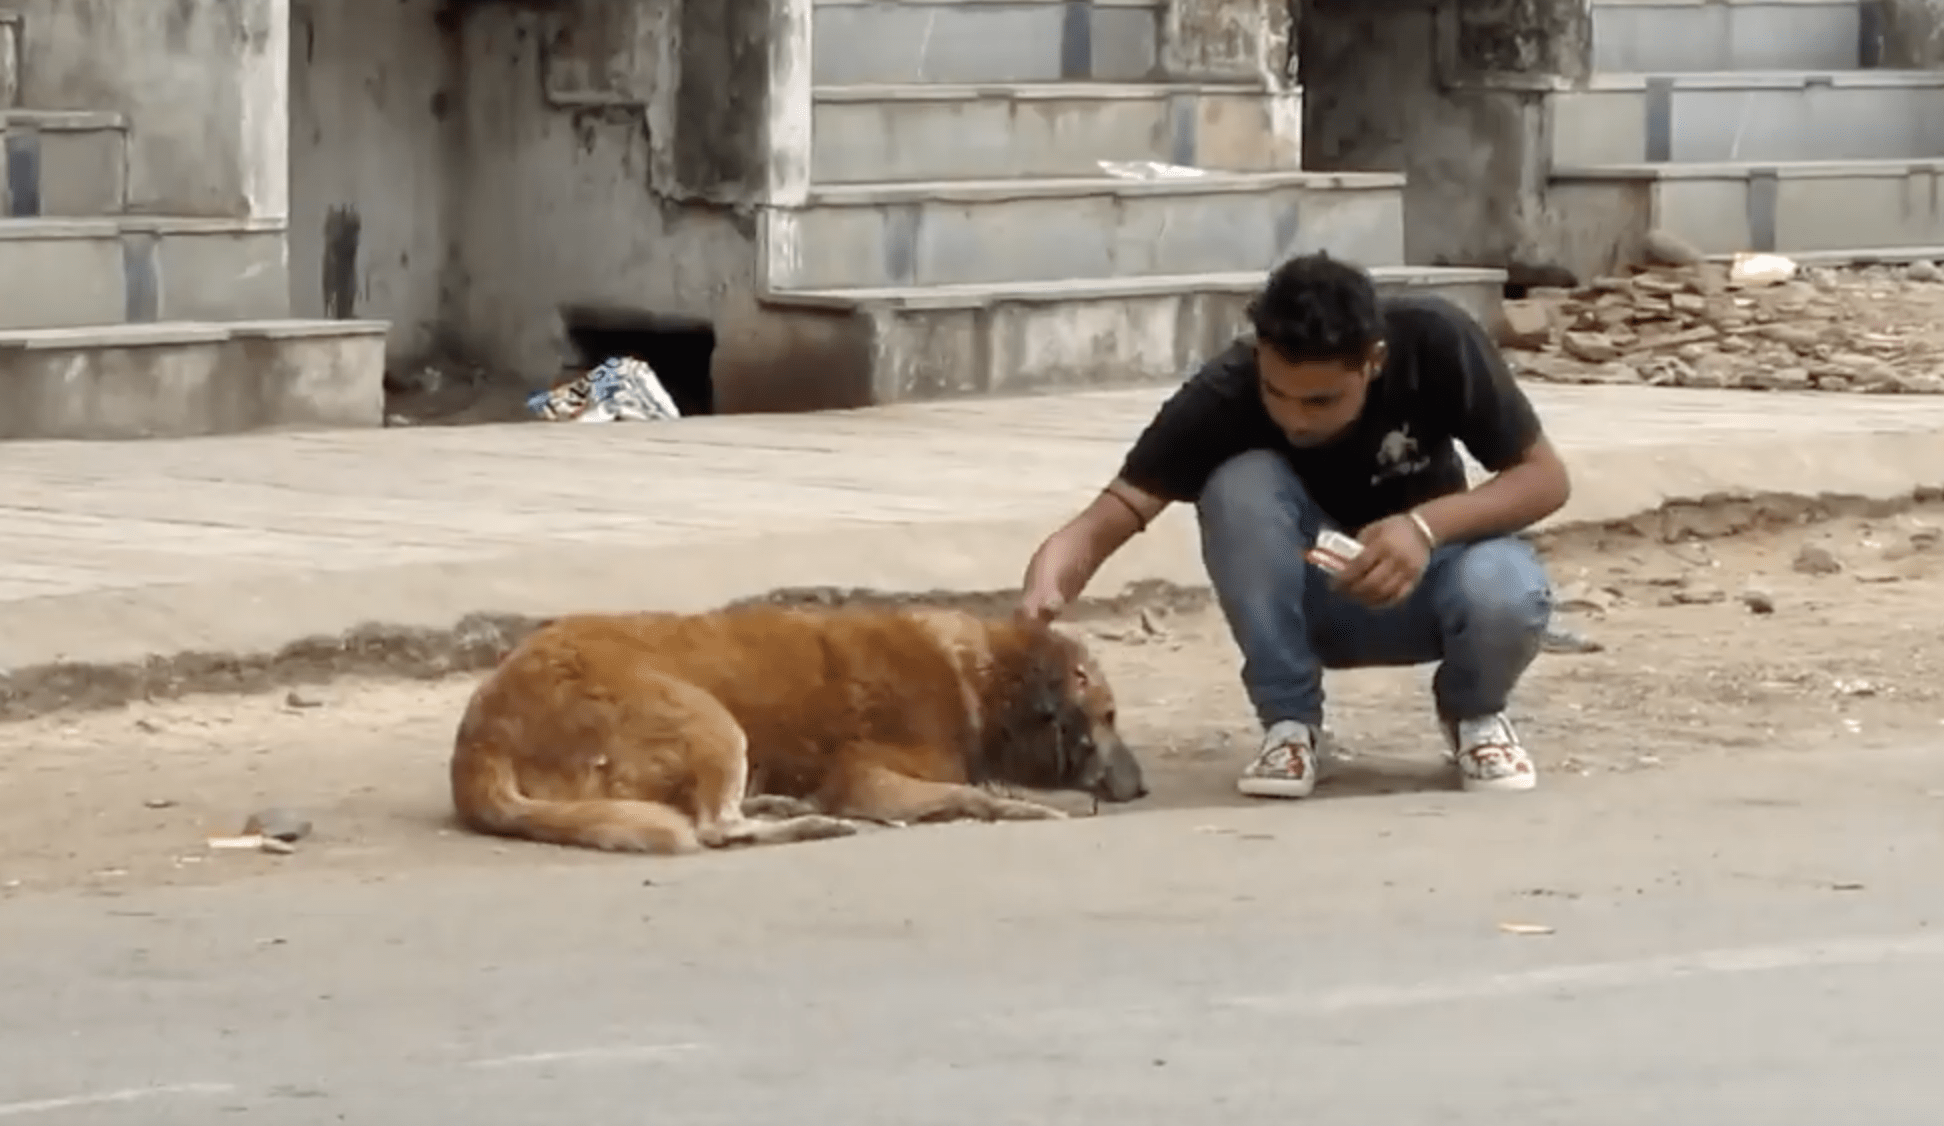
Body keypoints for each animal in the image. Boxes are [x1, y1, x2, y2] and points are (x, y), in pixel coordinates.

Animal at [448, 603, 1148, 854]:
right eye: (1109, 716)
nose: (1142, 790)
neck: (979, 675)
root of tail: (481, 736)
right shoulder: (863, 777)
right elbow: (971, 792)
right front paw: (1031, 806)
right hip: (709, 721)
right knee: (717, 829)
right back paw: (810, 823)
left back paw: (785, 804)